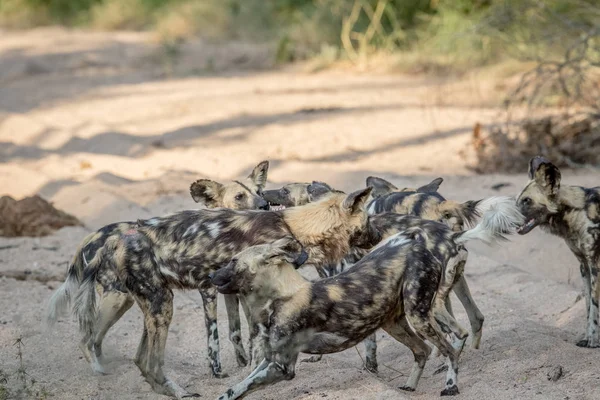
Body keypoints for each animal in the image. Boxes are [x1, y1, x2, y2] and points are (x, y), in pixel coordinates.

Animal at [45, 160, 270, 378]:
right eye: (239, 197)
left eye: (259, 191)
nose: (264, 205)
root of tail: (91, 237)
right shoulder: (208, 290)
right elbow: (213, 338)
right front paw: (218, 372)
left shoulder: (231, 292)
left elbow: (237, 330)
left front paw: (245, 363)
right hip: (117, 299)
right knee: (87, 338)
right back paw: (101, 372)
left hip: (124, 301)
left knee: (97, 339)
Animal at [59, 187, 370, 396]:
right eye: (367, 221)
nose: (375, 236)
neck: (292, 226)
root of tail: (117, 238)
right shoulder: (252, 295)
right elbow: (254, 341)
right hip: (159, 304)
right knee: (147, 361)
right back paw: (179, 393)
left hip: (142, 303)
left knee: (133, 357)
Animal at [213, 200, 524, 400]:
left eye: (233, 261)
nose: (213, 276)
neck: (282, 296)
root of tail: (418, 241)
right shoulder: (268, 360)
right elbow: (235, 388)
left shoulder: (282, 367)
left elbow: (247, 385)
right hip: (395, 323)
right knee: (424, 349)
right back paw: (409, 387)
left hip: (419, 315)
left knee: (447, 347)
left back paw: (450, 386)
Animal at [516, 155, 600, 346]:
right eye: (517, 201)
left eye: (527, 201)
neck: (575, 212)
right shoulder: (584, 265)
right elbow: (588, 307)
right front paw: (588, 338)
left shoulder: (595, 264)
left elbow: (595, 305)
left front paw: (594, 341)